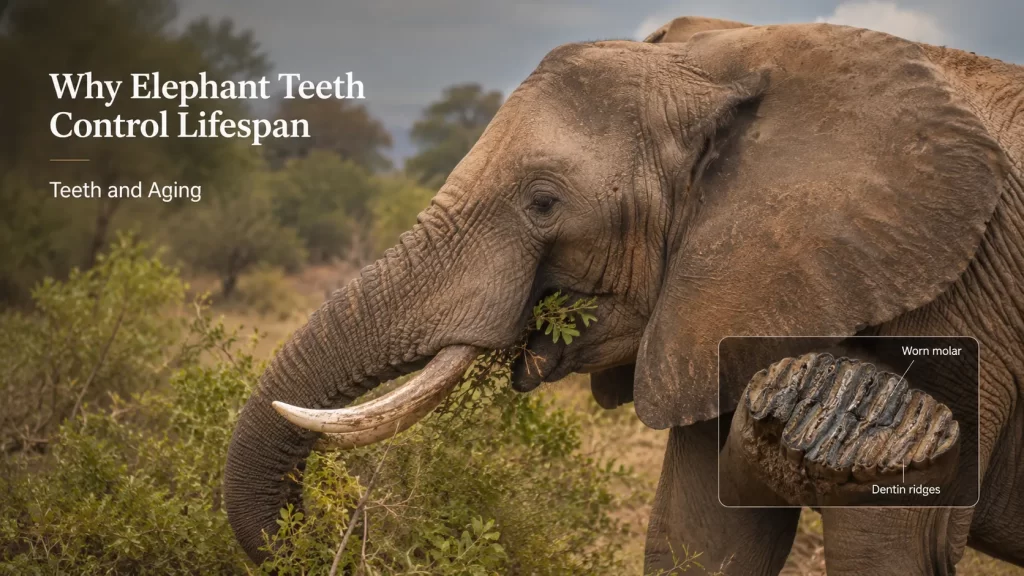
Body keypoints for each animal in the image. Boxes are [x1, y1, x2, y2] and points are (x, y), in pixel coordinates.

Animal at [224, 17, 1024, 575]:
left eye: (543, 203)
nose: (351, 527)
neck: (730, 65)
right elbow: (701, 536)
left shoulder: (962, 293)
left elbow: (890, 545)